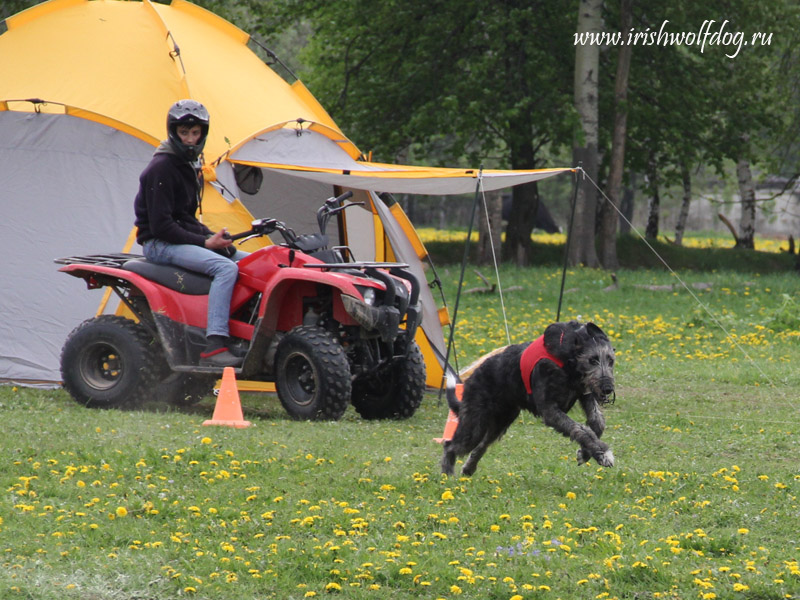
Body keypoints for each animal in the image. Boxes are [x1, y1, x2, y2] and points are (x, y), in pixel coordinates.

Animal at [440, 322, 616, 476]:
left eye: (611, 360)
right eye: (592, 359)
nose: (607, 388)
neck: (568, 359)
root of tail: (471, 378)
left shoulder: (585, 393)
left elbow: (597, 423)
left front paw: (586, 453)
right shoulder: (550, 410)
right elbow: (581, 429)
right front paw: (602, 452)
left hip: (500, 421)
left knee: (481, 445)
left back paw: (468, 469)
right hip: (475, 421)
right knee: (451, 444)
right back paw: (447, 475)